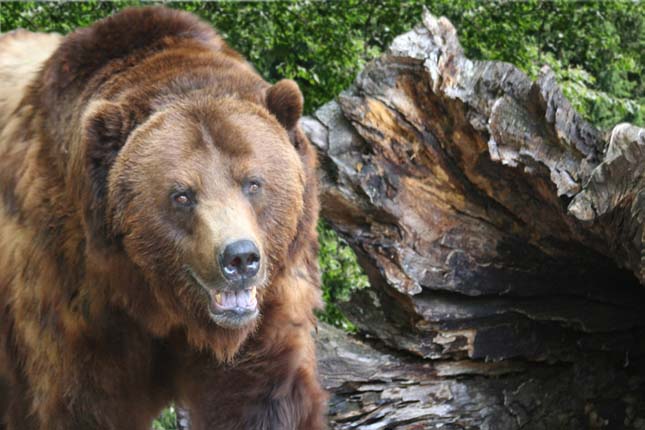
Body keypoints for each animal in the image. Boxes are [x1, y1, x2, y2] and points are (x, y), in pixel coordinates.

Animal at [0, 6, 322, 430]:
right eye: (181, 194)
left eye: (253, 182)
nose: (239, 258)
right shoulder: (72, 295)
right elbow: (82, 403)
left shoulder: (271, 298)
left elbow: (265, 393)